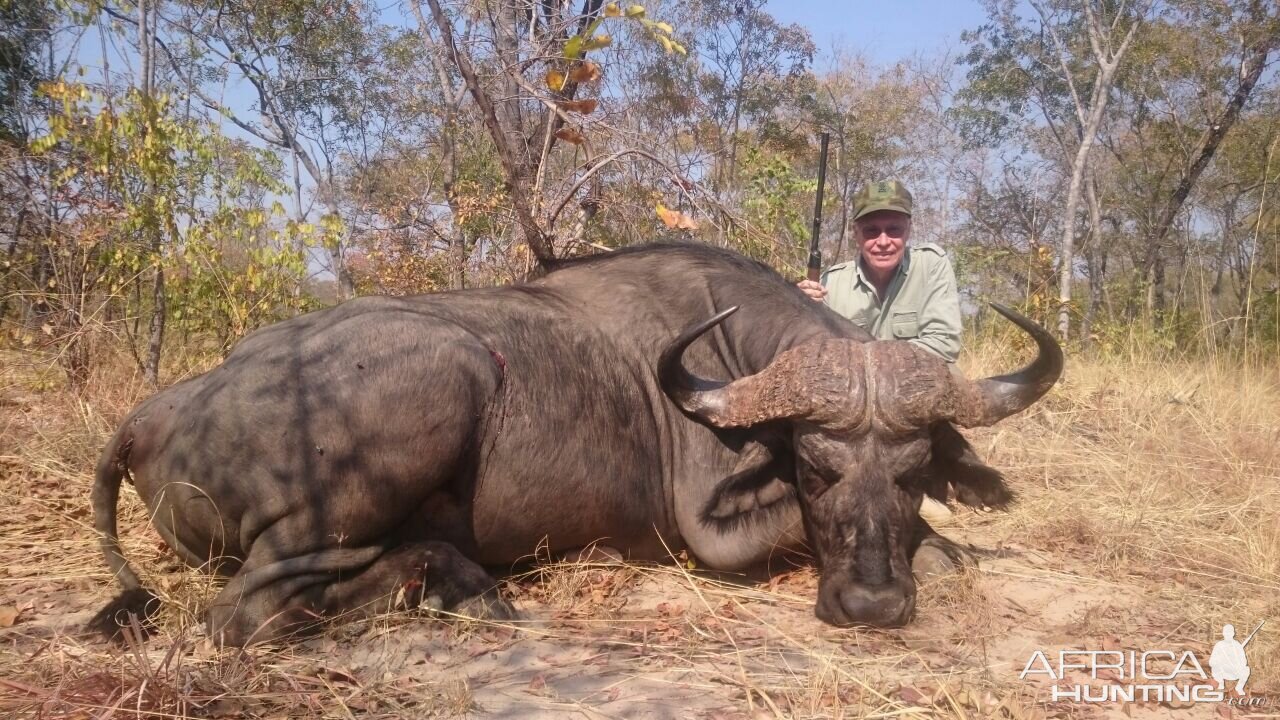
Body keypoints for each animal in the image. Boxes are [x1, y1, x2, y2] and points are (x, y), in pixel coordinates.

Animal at [90, 240, 1059, 638]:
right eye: (816, 469)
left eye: (913, 469)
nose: (870, 605)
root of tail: (153, 415)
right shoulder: (713, 535)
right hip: (440, 379)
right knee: (246, 613)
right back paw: (458, 588)